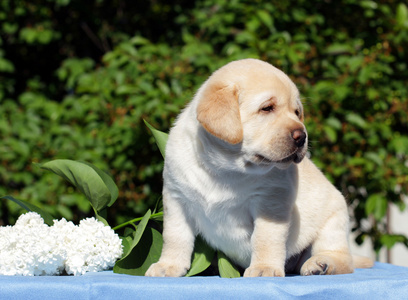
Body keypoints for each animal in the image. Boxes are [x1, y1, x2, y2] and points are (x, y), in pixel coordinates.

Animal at [145, 58, 372, 276]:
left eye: (296, 112)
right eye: (267, 108)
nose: (302, 136)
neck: (224, 169)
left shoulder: (271, 202)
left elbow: (265, 239)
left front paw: (264, 267)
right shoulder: (176, 199)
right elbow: (175, 237)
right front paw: (168, 265)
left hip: (334, 221)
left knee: (342, 258)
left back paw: (321, 264)